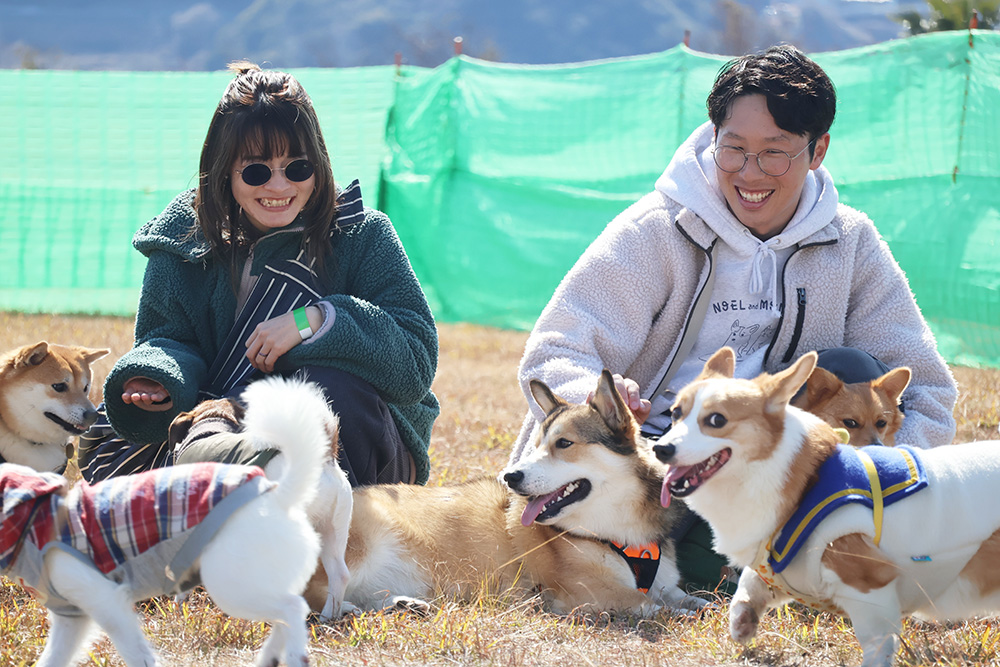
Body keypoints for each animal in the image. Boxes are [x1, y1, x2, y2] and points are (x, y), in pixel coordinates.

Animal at [324, 370, 708, 616]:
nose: (510, 477)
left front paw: (707, 607)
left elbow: (690, 598)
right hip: (353, 547)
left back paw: (401, 604)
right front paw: (680, 614)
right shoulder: (587, 590)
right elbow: (652, 605)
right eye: (536, 445)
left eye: (563, 443)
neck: (617, 531)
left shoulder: (666, 583)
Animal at [652, 348, 1000, 664]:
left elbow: (876, 643)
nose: (660, 449)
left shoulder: (869, 585)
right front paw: (743, 621)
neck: (804, 484)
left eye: (716, 420)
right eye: (675, 413)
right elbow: (751, 583)